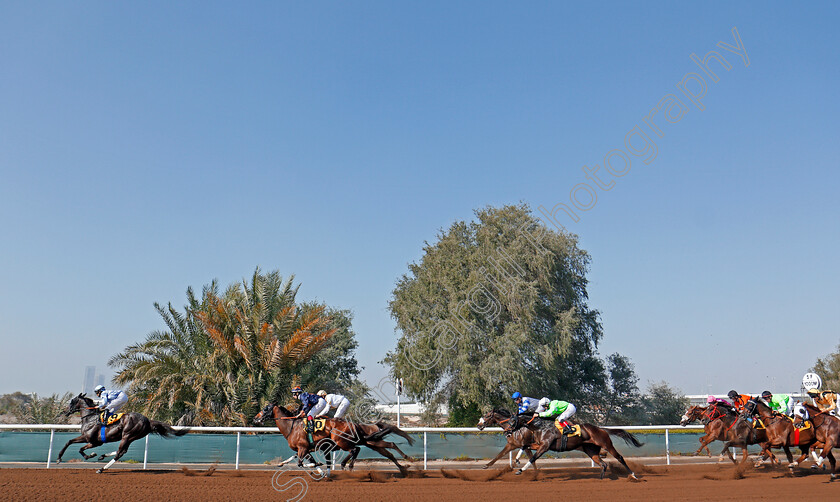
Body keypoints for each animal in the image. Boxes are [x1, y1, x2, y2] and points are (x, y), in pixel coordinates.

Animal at [56, 394, 189, 472]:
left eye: (71, 402)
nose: (64, 412)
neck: (90, 418)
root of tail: (148, 421)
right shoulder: (93, 441)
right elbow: (72, 443)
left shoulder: (92, 440)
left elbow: (76, 446)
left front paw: (89, 455)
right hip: (130, 438)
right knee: (122, 451)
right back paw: (102, 456)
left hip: (127, 435)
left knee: (120, 453)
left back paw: (101, 469)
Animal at [254, 400, 416, 474]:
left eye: (265, 408)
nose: (256, 419)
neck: (292, 426)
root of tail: (355, 425)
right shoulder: (306, 449)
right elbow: (304, 460)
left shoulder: (303, 448)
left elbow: (301, 463)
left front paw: (318, 468)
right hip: (372, 443)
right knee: (388, 451)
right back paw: (404, 466)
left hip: (349, 442)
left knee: (356, 450)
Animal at [492, 408, 644, 478]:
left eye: (512, 421)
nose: (507, 432)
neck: (540, 426)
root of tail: (600, 428)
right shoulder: (539, 444)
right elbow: (525, 446)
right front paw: (517, 460)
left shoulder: (545, 446)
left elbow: (533, 457)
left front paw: (520, 470)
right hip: (590, 450)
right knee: (603, 464)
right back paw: (601, 478)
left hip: (606, 444)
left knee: (620, 458)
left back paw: (633, 475)